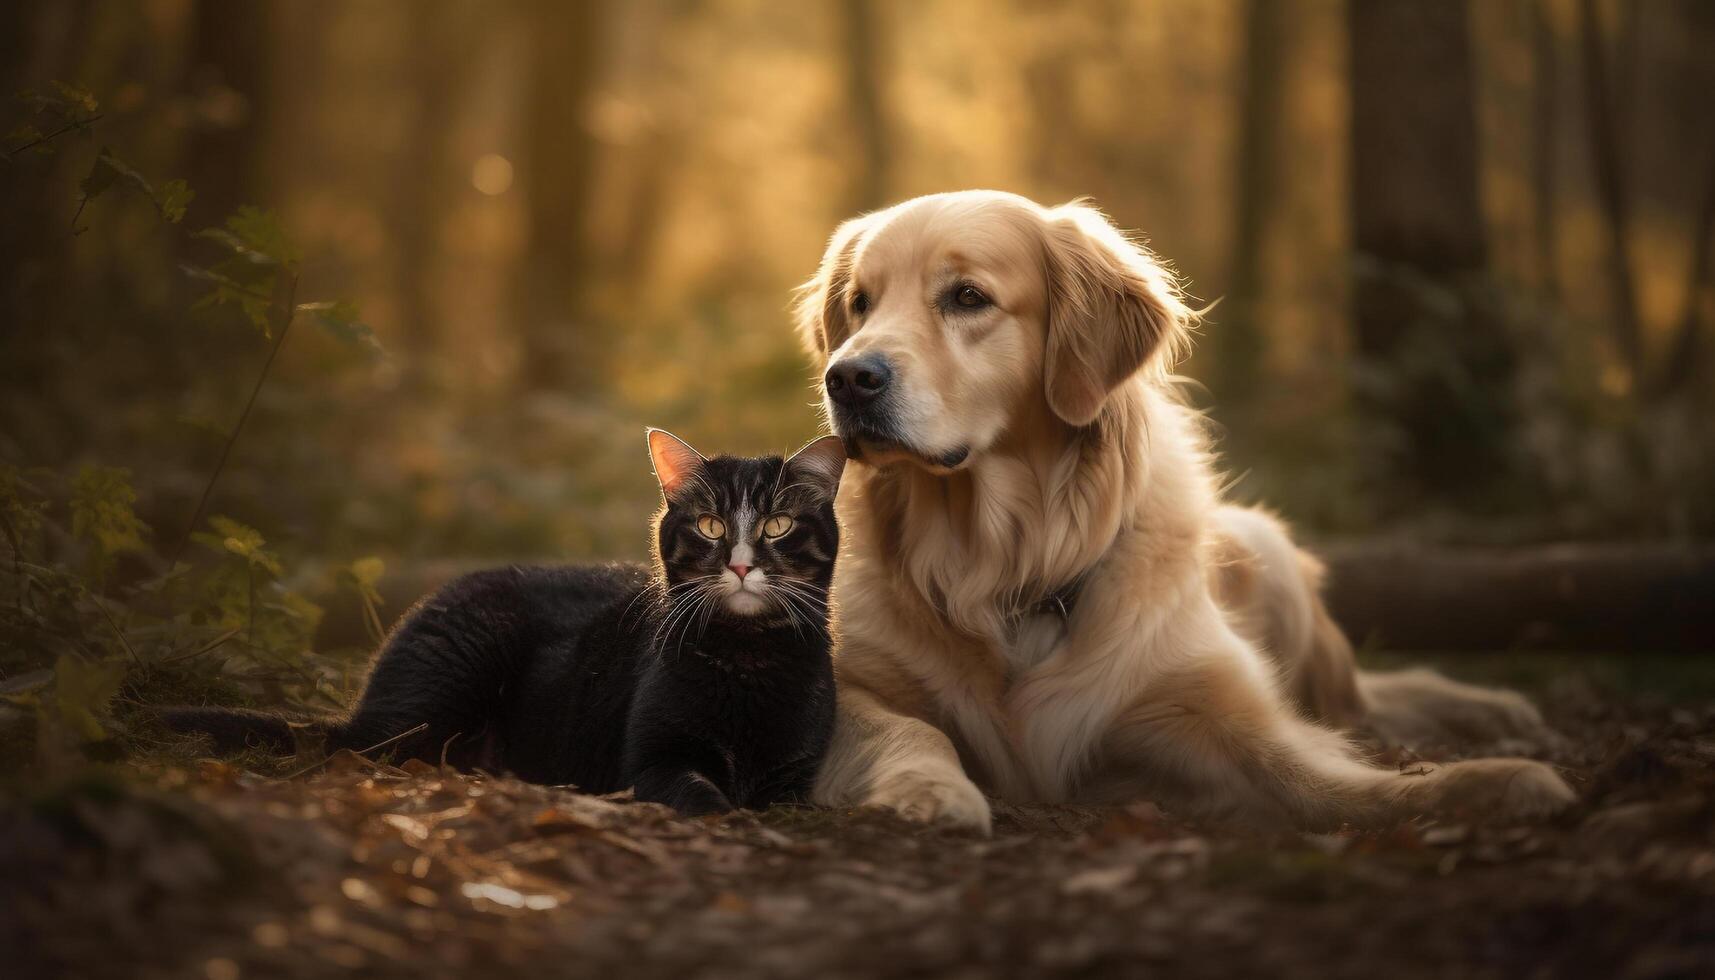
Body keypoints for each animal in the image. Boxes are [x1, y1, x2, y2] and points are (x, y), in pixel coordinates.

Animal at [163, 432, 847, 816]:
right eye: (709, 525)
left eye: (777, 525)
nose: (740, 564)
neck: (748, 658)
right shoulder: (650, 761)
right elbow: (702, 796)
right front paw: (728, 811)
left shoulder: (797, 771)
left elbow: (785, 796)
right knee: (365, 746)